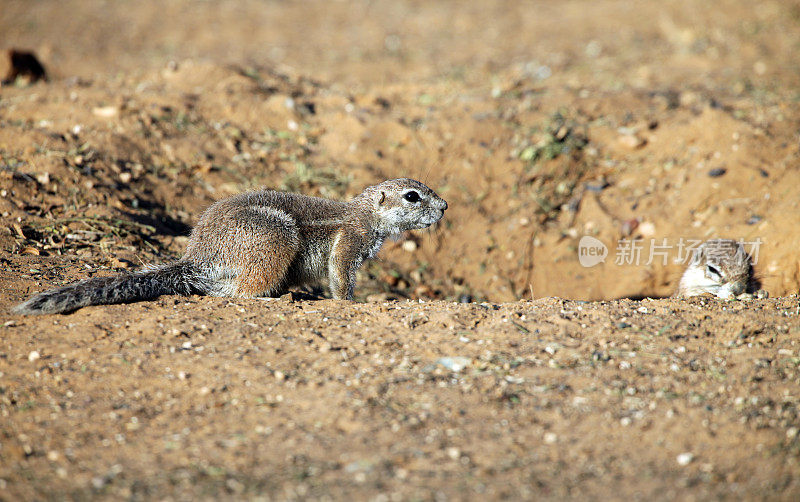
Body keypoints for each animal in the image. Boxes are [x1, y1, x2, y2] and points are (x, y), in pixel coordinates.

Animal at [12, 179, 446, 314]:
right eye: (412, 196)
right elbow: (340, 275)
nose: (444, 206)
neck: (367, 214)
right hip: (275, 236)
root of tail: (197, 258)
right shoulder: (350, 241)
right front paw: (347, 303)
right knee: (238, 292)